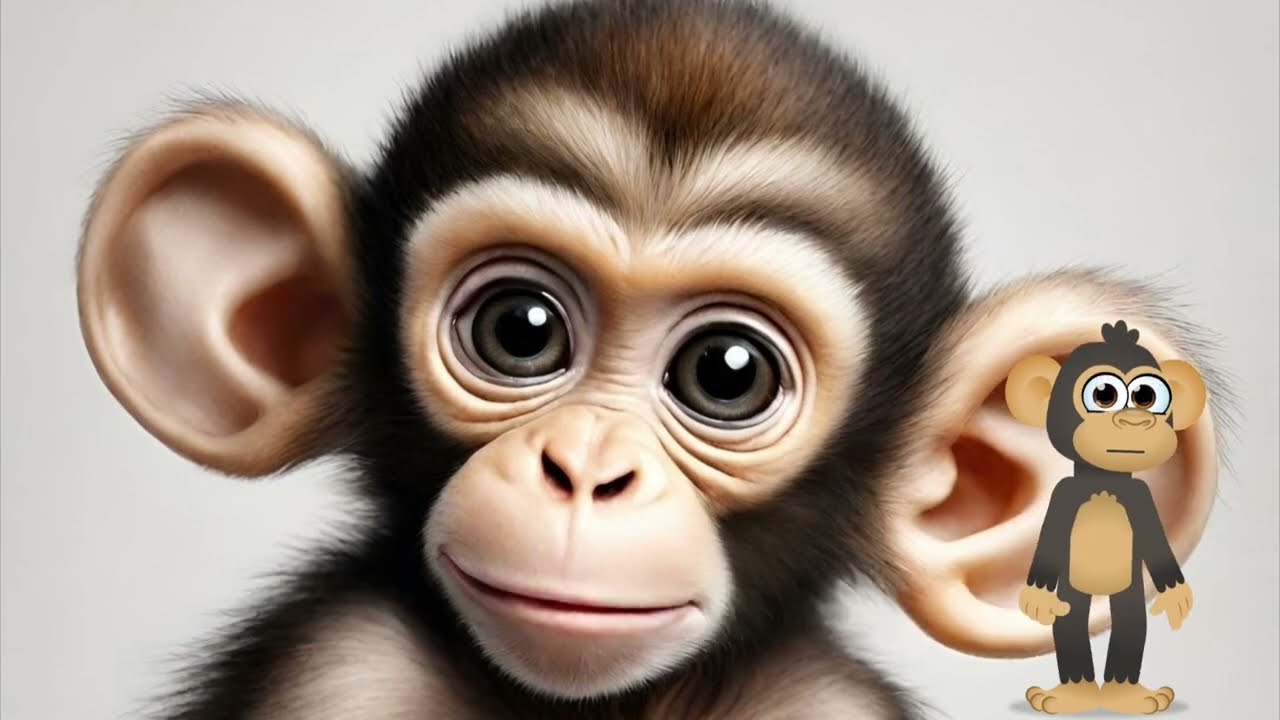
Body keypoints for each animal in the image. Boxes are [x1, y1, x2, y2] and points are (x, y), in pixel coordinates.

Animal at [1005, 320, 1207, 715]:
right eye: (1103, 394)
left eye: (1146, 396)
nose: (1134, 421)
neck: (1103, 485)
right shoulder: (1062, 497)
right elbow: (1048, 546)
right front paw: (1036, 599)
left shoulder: (1141, 499)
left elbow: (1158, 550)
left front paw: (1176, 596)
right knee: (1070, 621)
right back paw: (1073, 695)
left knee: (1130, 621)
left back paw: (1126, 696)